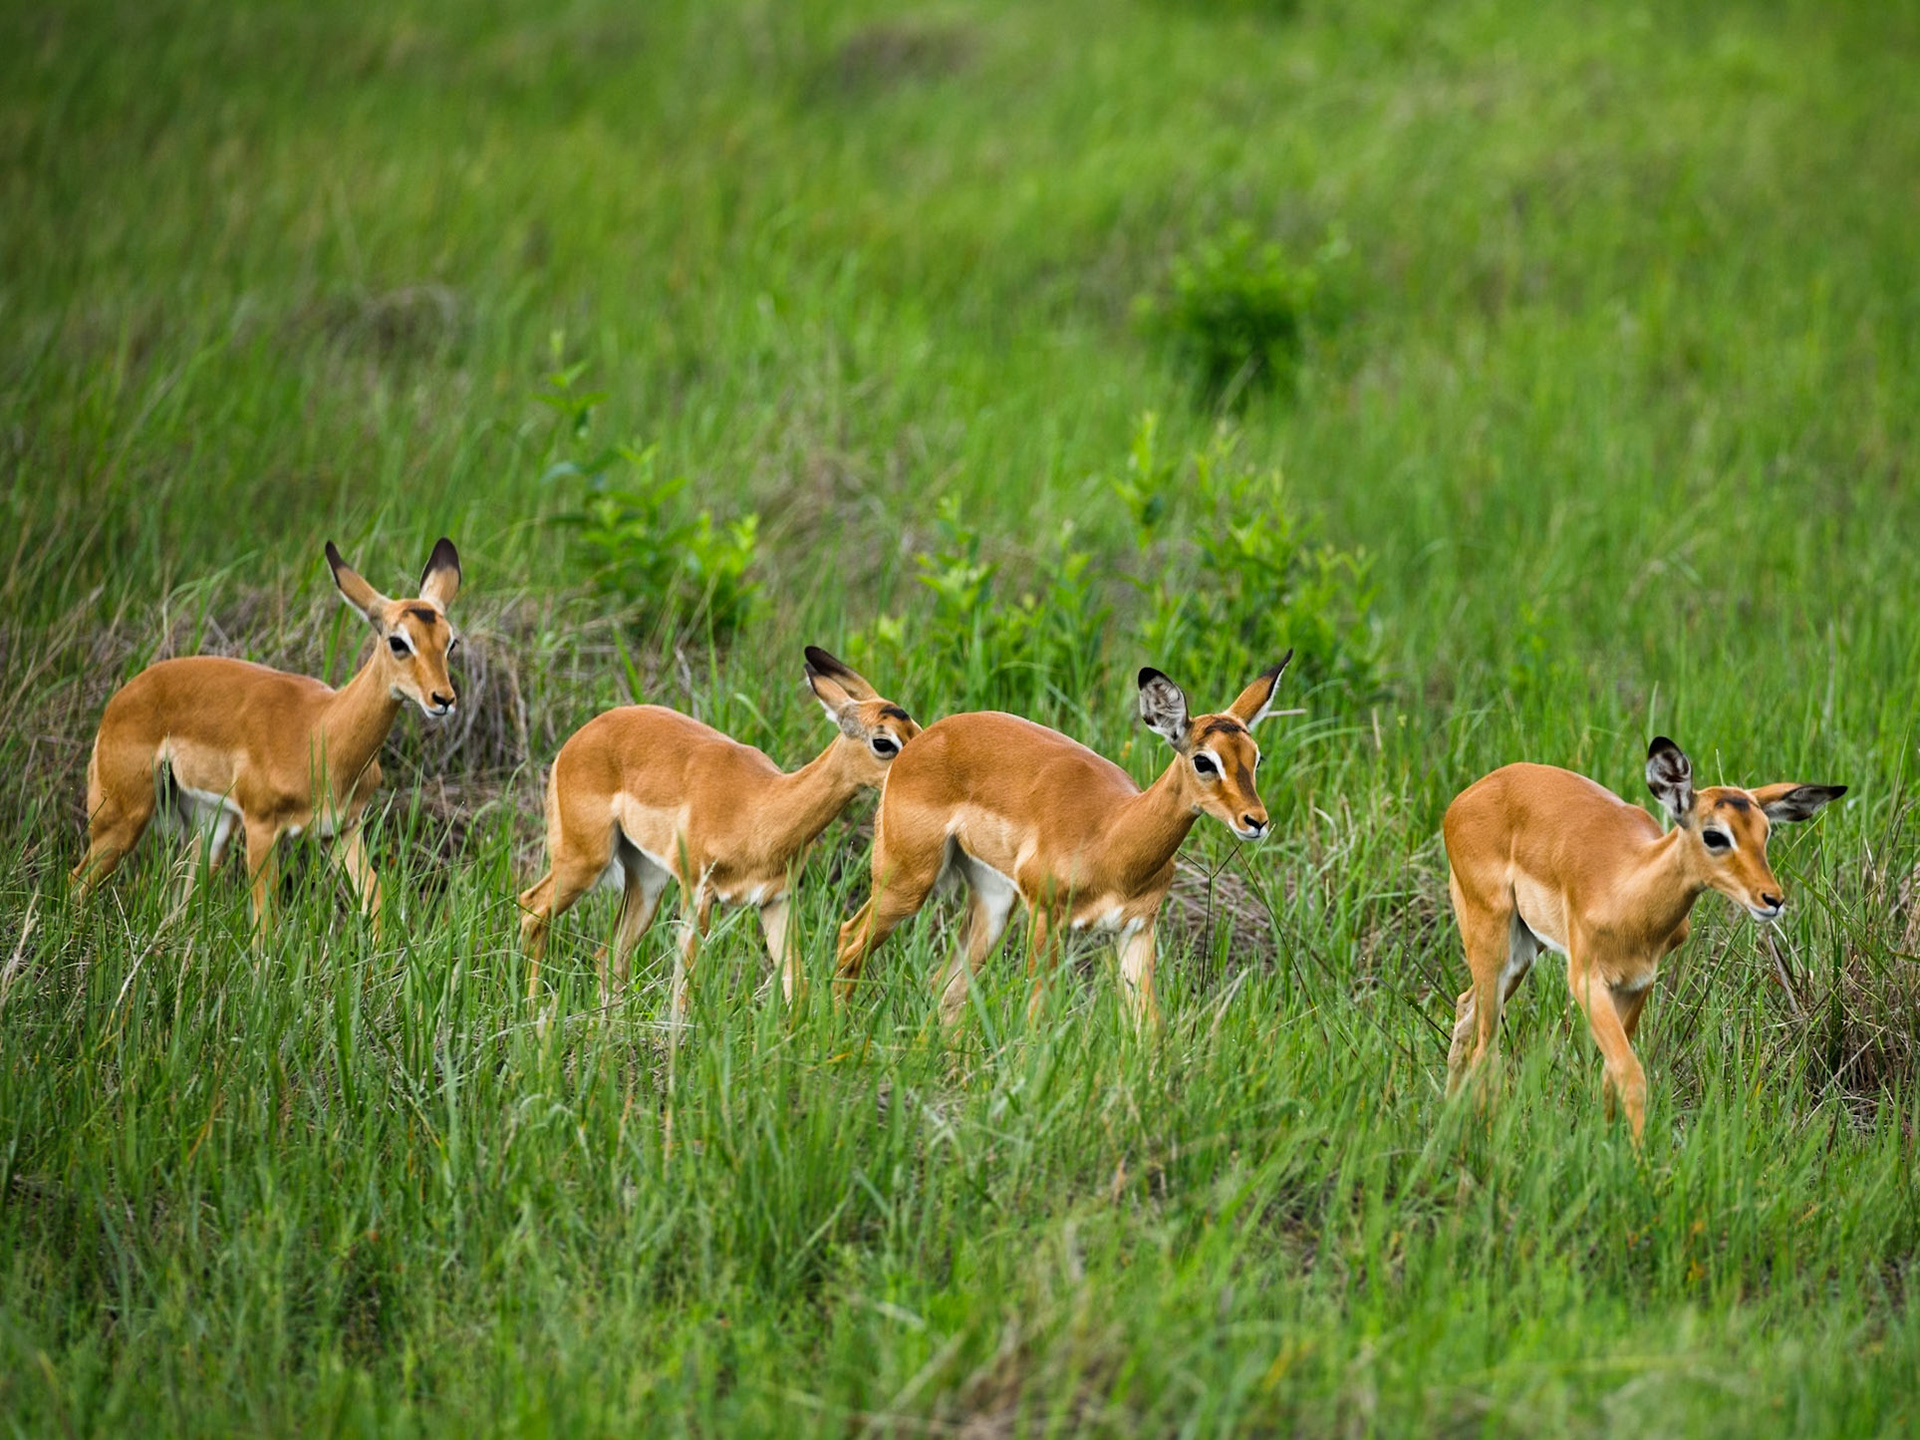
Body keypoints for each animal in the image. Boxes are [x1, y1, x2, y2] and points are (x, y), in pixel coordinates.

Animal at [70, 538, 463, 934]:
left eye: (450, 642)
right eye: (398, 642)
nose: (443, 699)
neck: (322, 729)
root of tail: (121, 699)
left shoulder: (342, 830)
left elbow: (377, 903)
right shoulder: (261, 827)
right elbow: (265, 927)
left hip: (211, 827)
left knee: (178, 905)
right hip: (123, 818)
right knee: (77, 882)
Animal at [517, 647, 919, 1010]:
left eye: (915, 729)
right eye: (883, 741)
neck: (760, 806)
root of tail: (578, 739)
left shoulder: (776, 900)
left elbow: (796, 985)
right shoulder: (699, 893)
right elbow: (685, 990)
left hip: (647, 879)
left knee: (609, 954)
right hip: (586, 861)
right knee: (531, 909)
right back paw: (532, 1012)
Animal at [833, 655, 1293, 1030]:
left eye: (1255, 757)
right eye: (1204, 760)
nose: (1256, 821)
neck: (1111, 834)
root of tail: (922, 740)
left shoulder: (1138, 930)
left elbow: (1148, 1027)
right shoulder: (1046, 916)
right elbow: (1038, 1015)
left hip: (993, 902)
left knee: (946, 986)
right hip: (907, 882)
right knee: (850, 940)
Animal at [1443, 736, 1846, 1142]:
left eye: (1766, 832)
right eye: (1715, 835)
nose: (1772, 899)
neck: (1626, 890)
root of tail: (1467, 797)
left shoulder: (1638, 982)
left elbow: (1611, 1076)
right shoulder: (1587, 981)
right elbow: (1630, 1073)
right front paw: (1640, 1157)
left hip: (1523, 953)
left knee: (1465, 1011)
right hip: (1491, 937)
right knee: (1486, 1049)